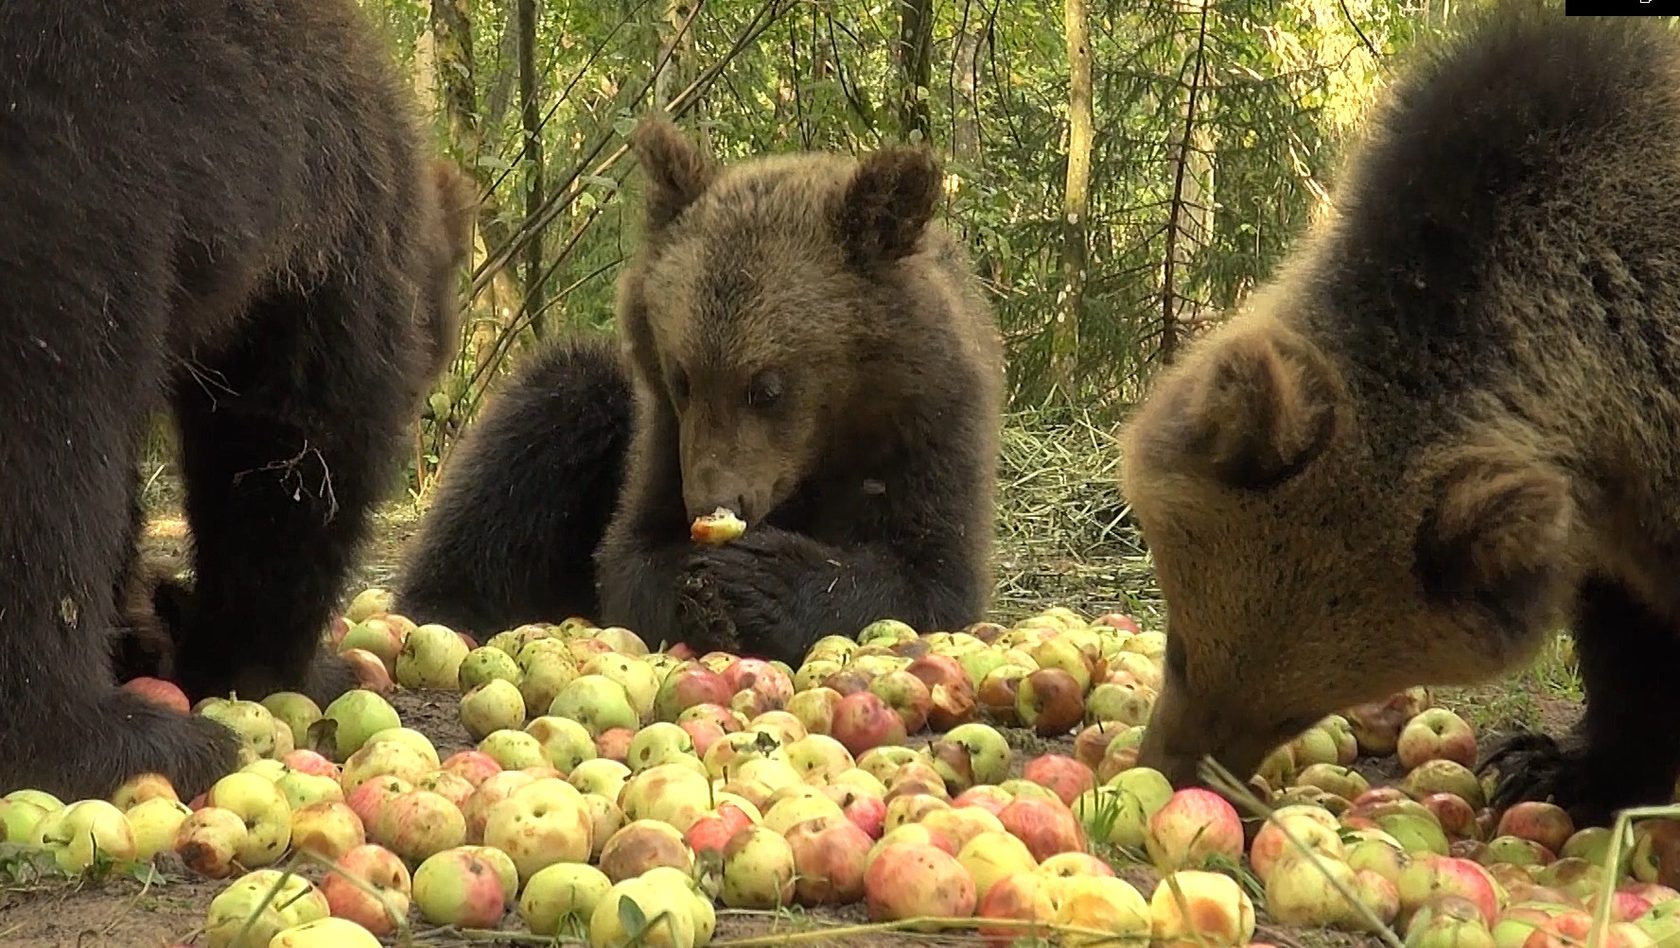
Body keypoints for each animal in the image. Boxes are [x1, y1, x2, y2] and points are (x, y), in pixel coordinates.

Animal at [1, 0, 473, 803]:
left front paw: (155, 623)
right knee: (51, 441)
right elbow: (294, 445)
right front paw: (277, 663)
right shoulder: (329, 225)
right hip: (72, 174)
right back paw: (109, 738)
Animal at [394, 115, 1001, 662]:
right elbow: (631, 557)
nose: (711, 501)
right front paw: (703, 587)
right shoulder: (663, 439)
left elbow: (927, 576)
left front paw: (759, 580)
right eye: (681, 376)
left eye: (767, 387)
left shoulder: (929, 436)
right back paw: (448, 605)